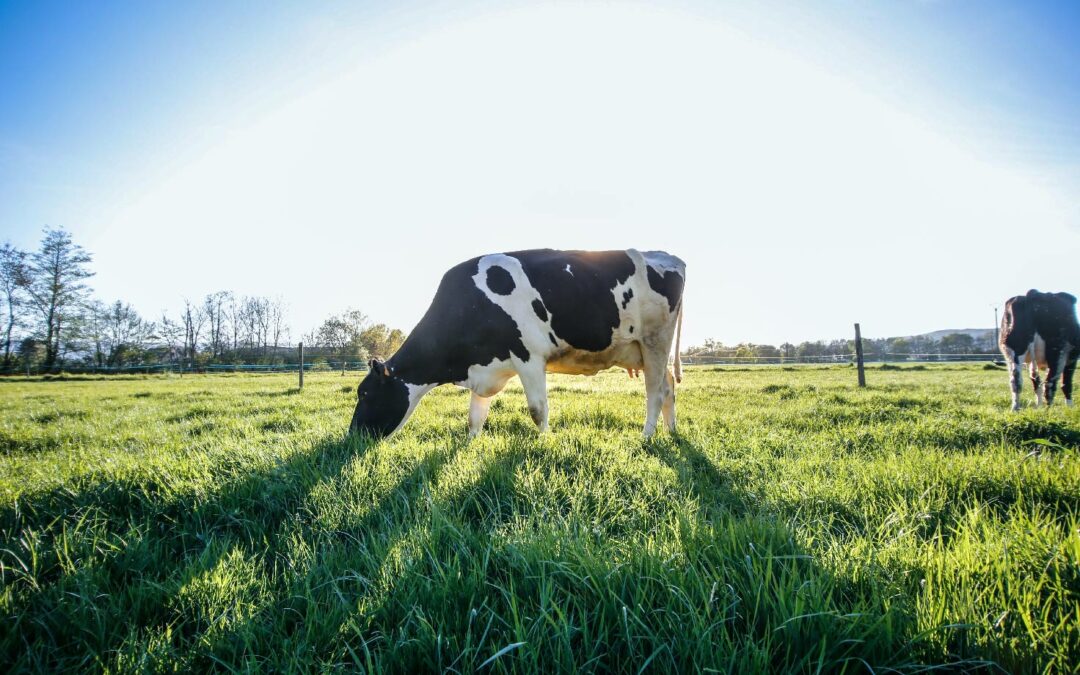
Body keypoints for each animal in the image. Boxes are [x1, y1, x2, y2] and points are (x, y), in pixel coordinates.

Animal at [349, 247, 686, 436]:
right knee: (669, 387)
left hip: (655, 341)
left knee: (655, 392)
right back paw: (671, 431)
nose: (352, 436)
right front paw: (471, 444)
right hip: (647, 350)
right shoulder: (485, 366)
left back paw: (646, 436)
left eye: (364, 393)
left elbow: (538, 410)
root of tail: (669, 257)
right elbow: (475, 417)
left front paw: (545, 442)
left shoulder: (529, 356)